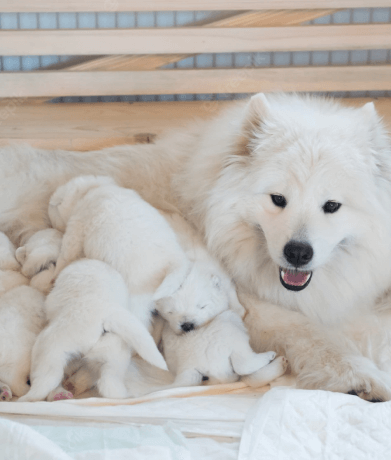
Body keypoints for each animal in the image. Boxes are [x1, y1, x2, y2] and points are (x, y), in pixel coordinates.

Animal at [20, 258, 167, 402]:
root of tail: (103, 316)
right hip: (113, 355)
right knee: (108, 384)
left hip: (48, 350)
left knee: (42, 387)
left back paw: (29, 398)